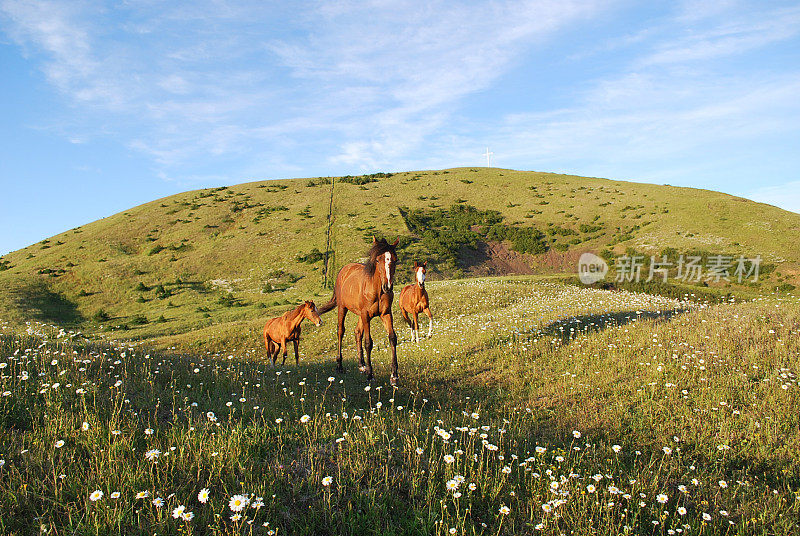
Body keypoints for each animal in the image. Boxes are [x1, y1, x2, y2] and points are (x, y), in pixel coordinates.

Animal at [318, 237, 400, 384]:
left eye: (395, 260)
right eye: (377, 260)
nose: (387, 286)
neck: (377, 290)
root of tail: (344, 269)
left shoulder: (386, 314)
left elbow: (392, 338)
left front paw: (394, 375)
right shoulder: (366, 315)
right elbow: (368, 343)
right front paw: (370, 374)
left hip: (361, 315)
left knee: (357, 332)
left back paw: (362, 365)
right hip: (343, 308)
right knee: (340, 331)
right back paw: (339, 365)